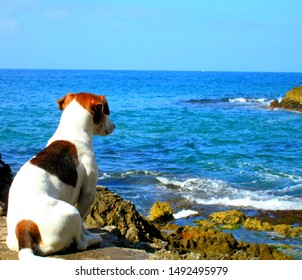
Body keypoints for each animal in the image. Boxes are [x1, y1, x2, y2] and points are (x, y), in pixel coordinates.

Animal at [5, 93, 114, 260]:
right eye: (105, 113)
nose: (114, 126)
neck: (72, 132)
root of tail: (24, 228)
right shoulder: (88, 193)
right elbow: (83, 219)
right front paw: (88, 233)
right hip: (71, 213)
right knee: (80, 243)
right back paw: (93, 239)